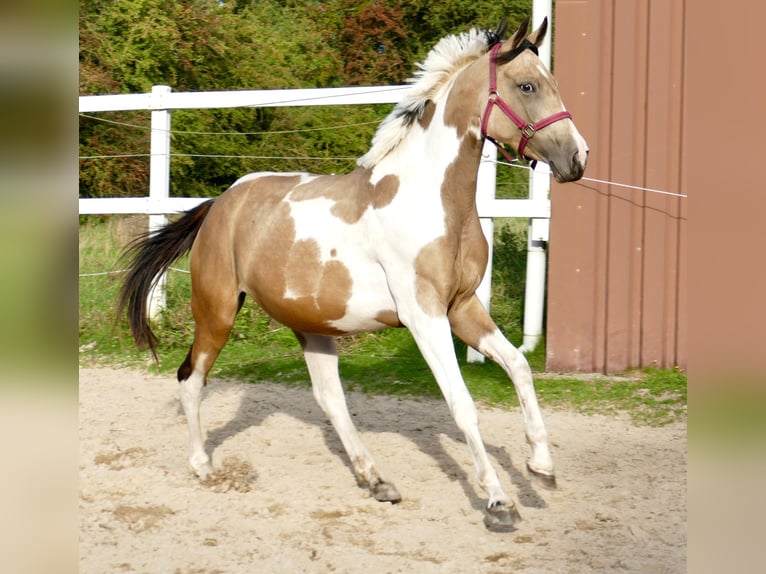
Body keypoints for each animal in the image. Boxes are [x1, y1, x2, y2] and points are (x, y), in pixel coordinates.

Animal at [118, 16, 588, 532]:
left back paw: (376, 480)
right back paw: (203, 464)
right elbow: (462, 404)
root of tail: (219, 205)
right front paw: (500, 503)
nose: (577, 158)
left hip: (314, 325)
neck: (433, 200)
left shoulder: (462, 308)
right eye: (527, 85)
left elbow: (520, 368)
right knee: (191, 378)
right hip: (217, 311)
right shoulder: (424, 316)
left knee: (330, 399)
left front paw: (541, 467)